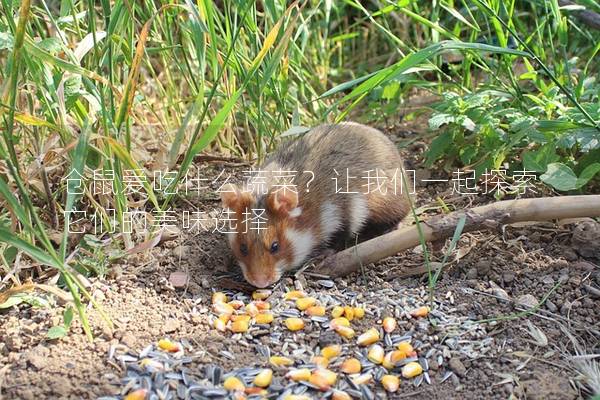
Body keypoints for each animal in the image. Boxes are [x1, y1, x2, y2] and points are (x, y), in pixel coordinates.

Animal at [220, 122, 412, 288]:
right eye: (243, 248)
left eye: (275, 246)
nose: (259, 283)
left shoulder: (345, 212)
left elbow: (340, 237)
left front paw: (322, 254)